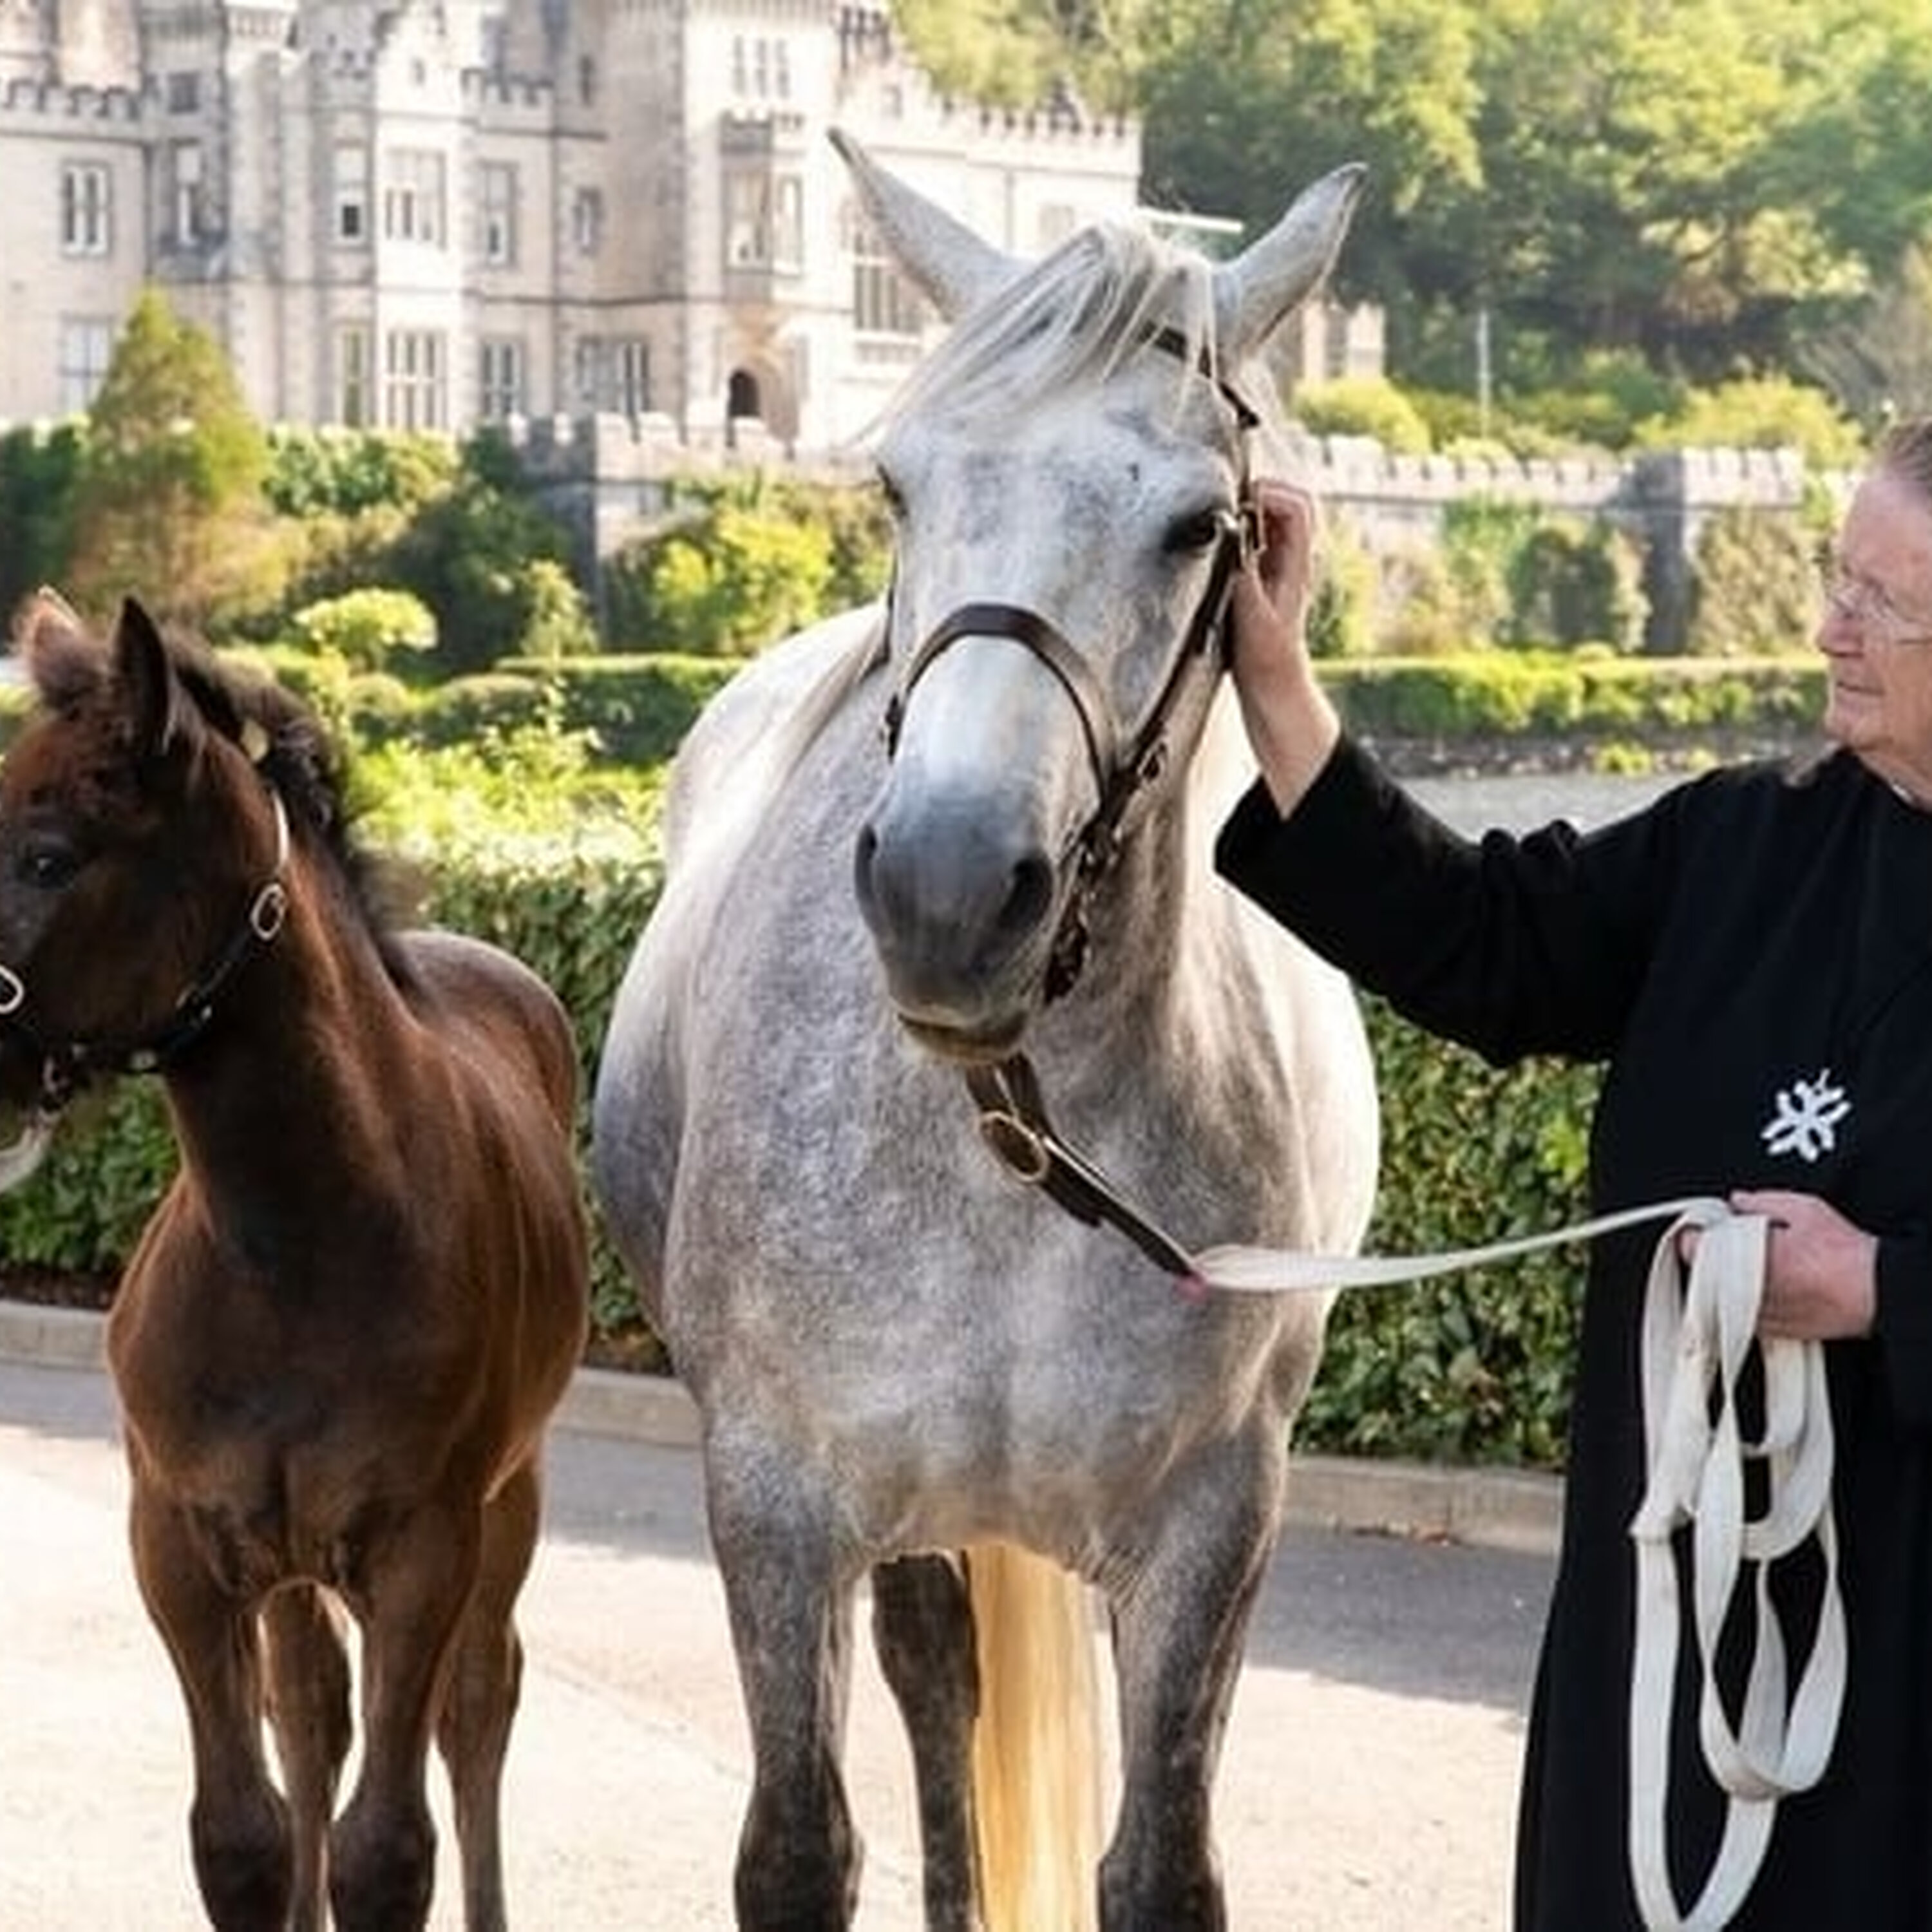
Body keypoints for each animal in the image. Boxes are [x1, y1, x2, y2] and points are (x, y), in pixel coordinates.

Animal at [0, 592, 590, 1931]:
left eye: (49, 856)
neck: (294, 1246)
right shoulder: (180, 1543)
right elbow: (241, 1835)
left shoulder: (423, 1549)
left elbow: (389, 1850)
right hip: (286, 1562)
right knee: (313, 1709)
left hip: (513, 1492)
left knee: (480, 1700)